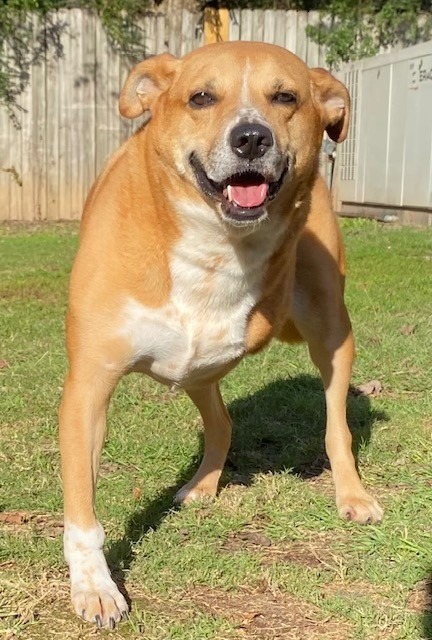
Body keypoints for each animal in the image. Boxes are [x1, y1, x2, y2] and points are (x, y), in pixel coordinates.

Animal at [59, 42, 384, 628]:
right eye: (201, 97)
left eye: (286, 97)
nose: (251, 137)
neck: (215, 243)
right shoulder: (88, 388)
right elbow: (83, 511)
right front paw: (94, 585)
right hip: (198, 371)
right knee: (223, 421)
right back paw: (203, 484)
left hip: (331, 332)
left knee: (335, 425)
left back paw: (351, 492)